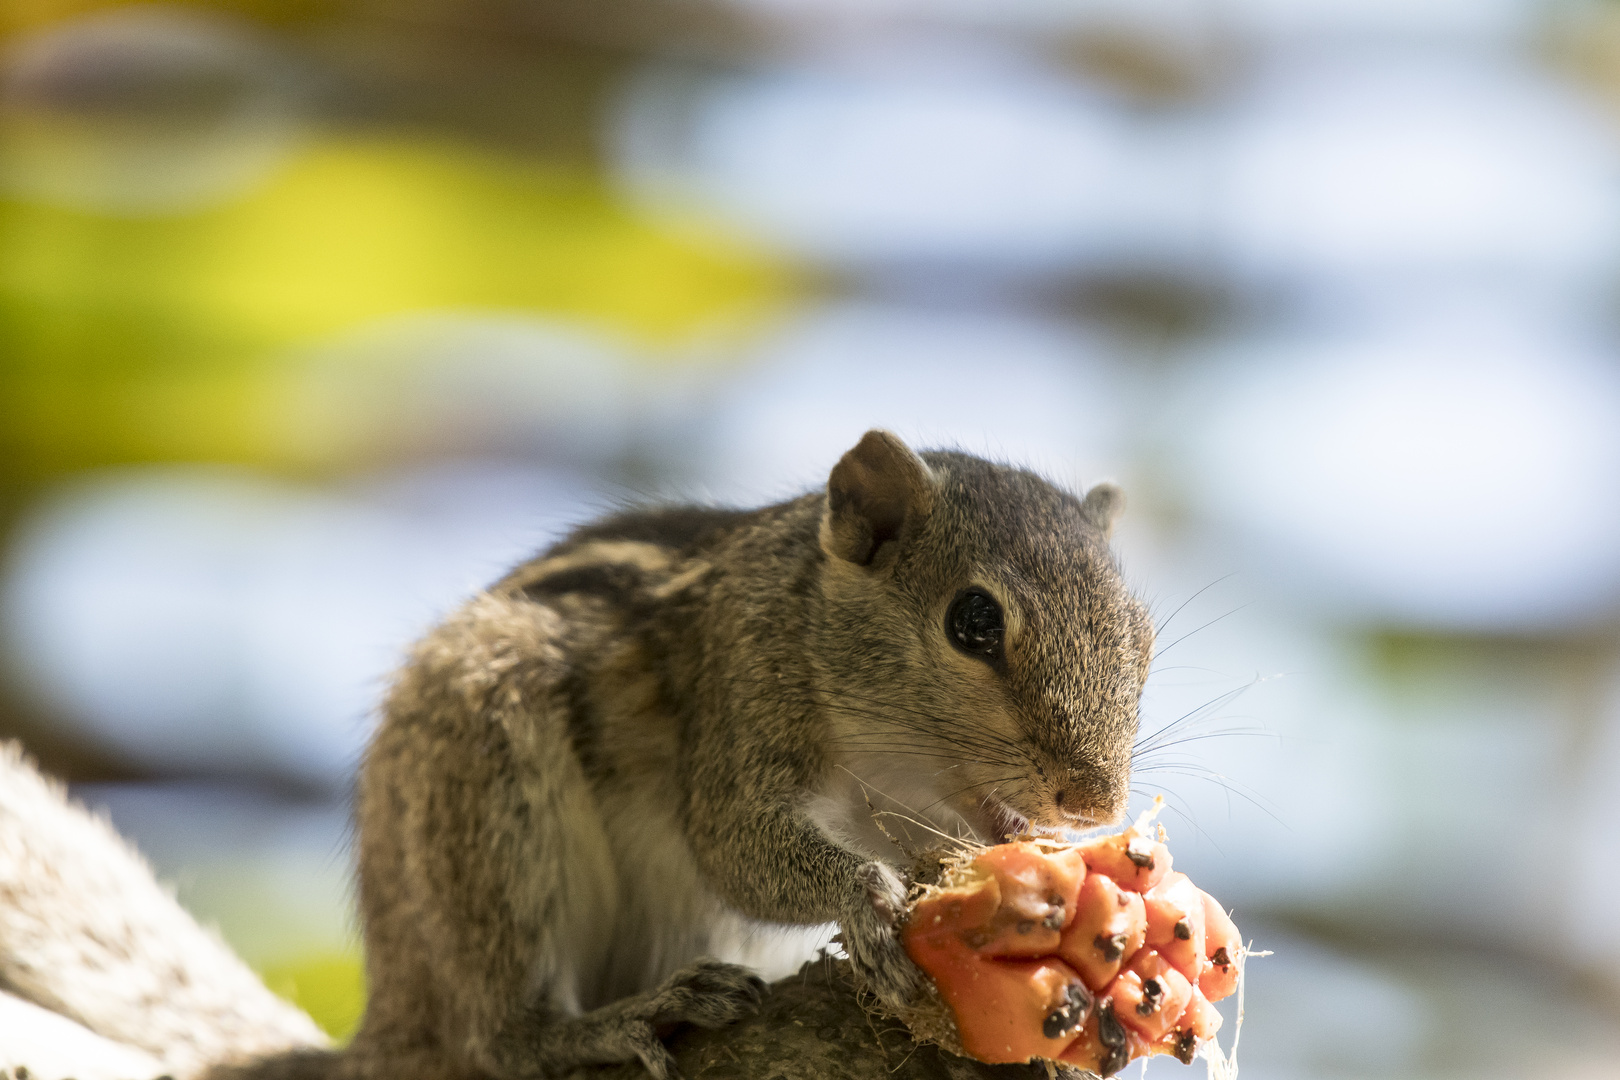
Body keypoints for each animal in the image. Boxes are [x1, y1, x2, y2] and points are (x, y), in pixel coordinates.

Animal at [215, 430, 1153, 1080]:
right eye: (973, 621)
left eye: (1142, 637)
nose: (1092, 803)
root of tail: (390, 1020)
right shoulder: (737, 698)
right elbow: (738, 850)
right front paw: (868, 902)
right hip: (480, 802)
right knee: (499, 1035)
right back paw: (607, 1023)